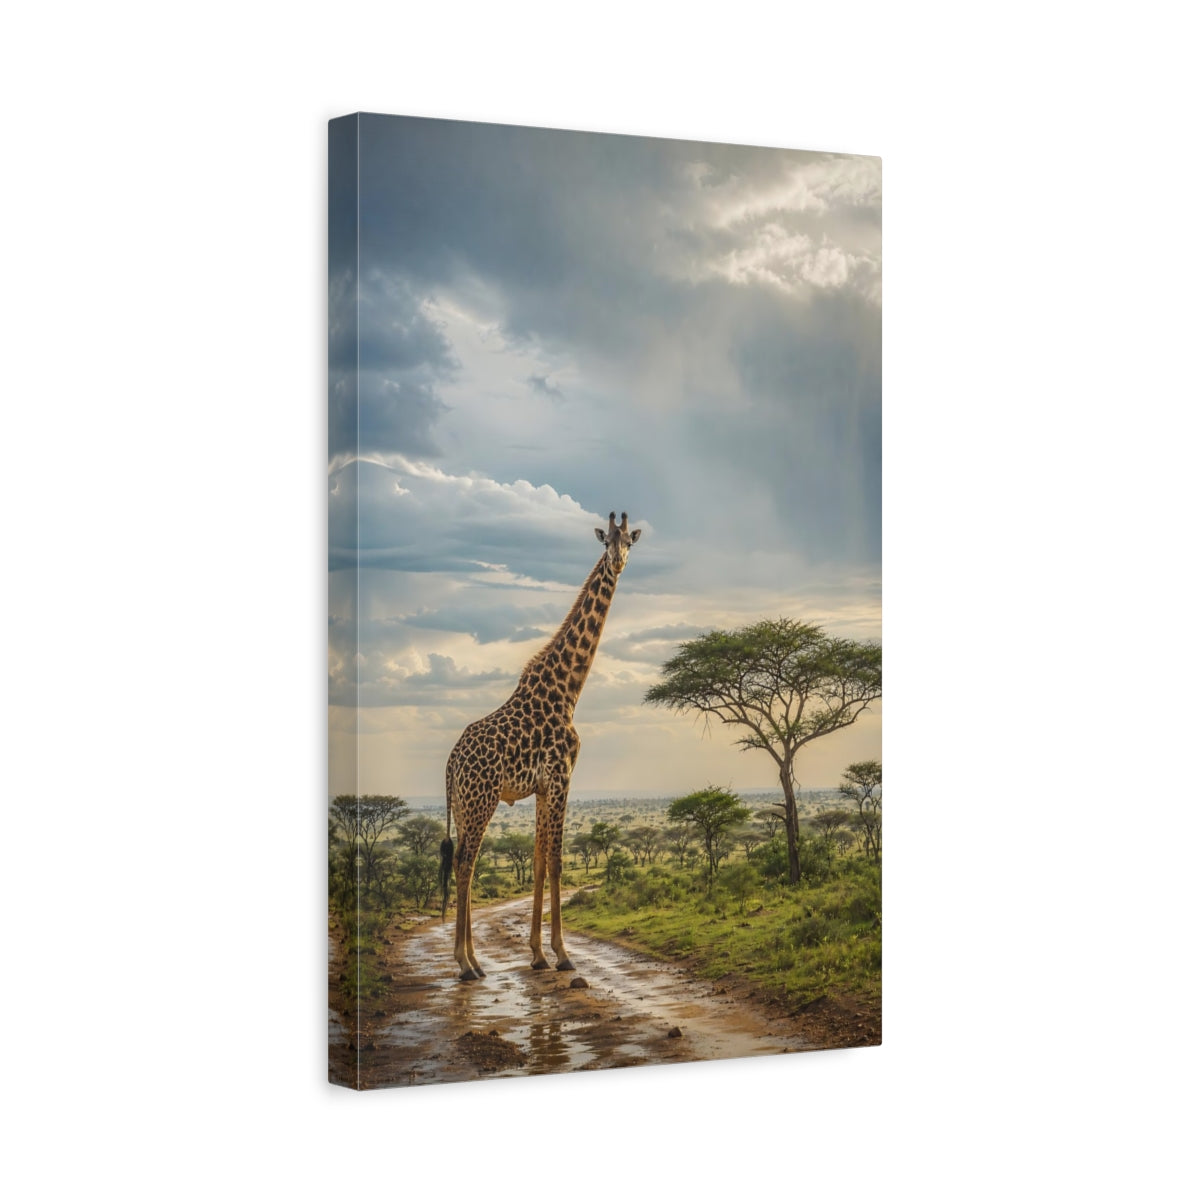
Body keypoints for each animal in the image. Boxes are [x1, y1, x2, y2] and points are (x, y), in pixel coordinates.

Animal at [438, 511, 642, 981]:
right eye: (607, 542)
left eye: (629, 542)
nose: (618, 562)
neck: (567, 690)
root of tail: (451, 762)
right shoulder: (563, 777)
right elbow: (557, 862)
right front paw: (563, 954)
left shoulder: (544, 787)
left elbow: (537, 862)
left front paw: (536, 954)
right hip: (481, 800)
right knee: (466, 863)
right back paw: (465, 963)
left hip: (463, 805)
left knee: (463, 864)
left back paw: (474, 960)